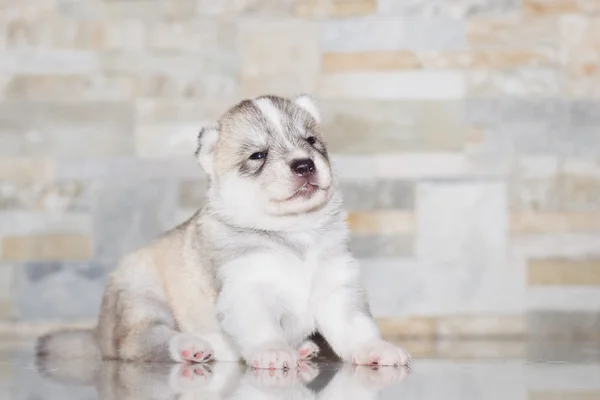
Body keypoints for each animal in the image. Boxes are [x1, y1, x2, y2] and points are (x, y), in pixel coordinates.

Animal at [36, 94, 412, 368]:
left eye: (311, 141)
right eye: (257, 156)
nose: (304, 164)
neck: (294, 233)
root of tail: (98, 334)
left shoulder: (338, 288)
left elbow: (357, 328)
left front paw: (377, 349)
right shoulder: (246, 290)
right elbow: (262, 326)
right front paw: (274, 351)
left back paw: (304, 348)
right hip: (142, 298)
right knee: (144, 342)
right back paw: (193, 346)